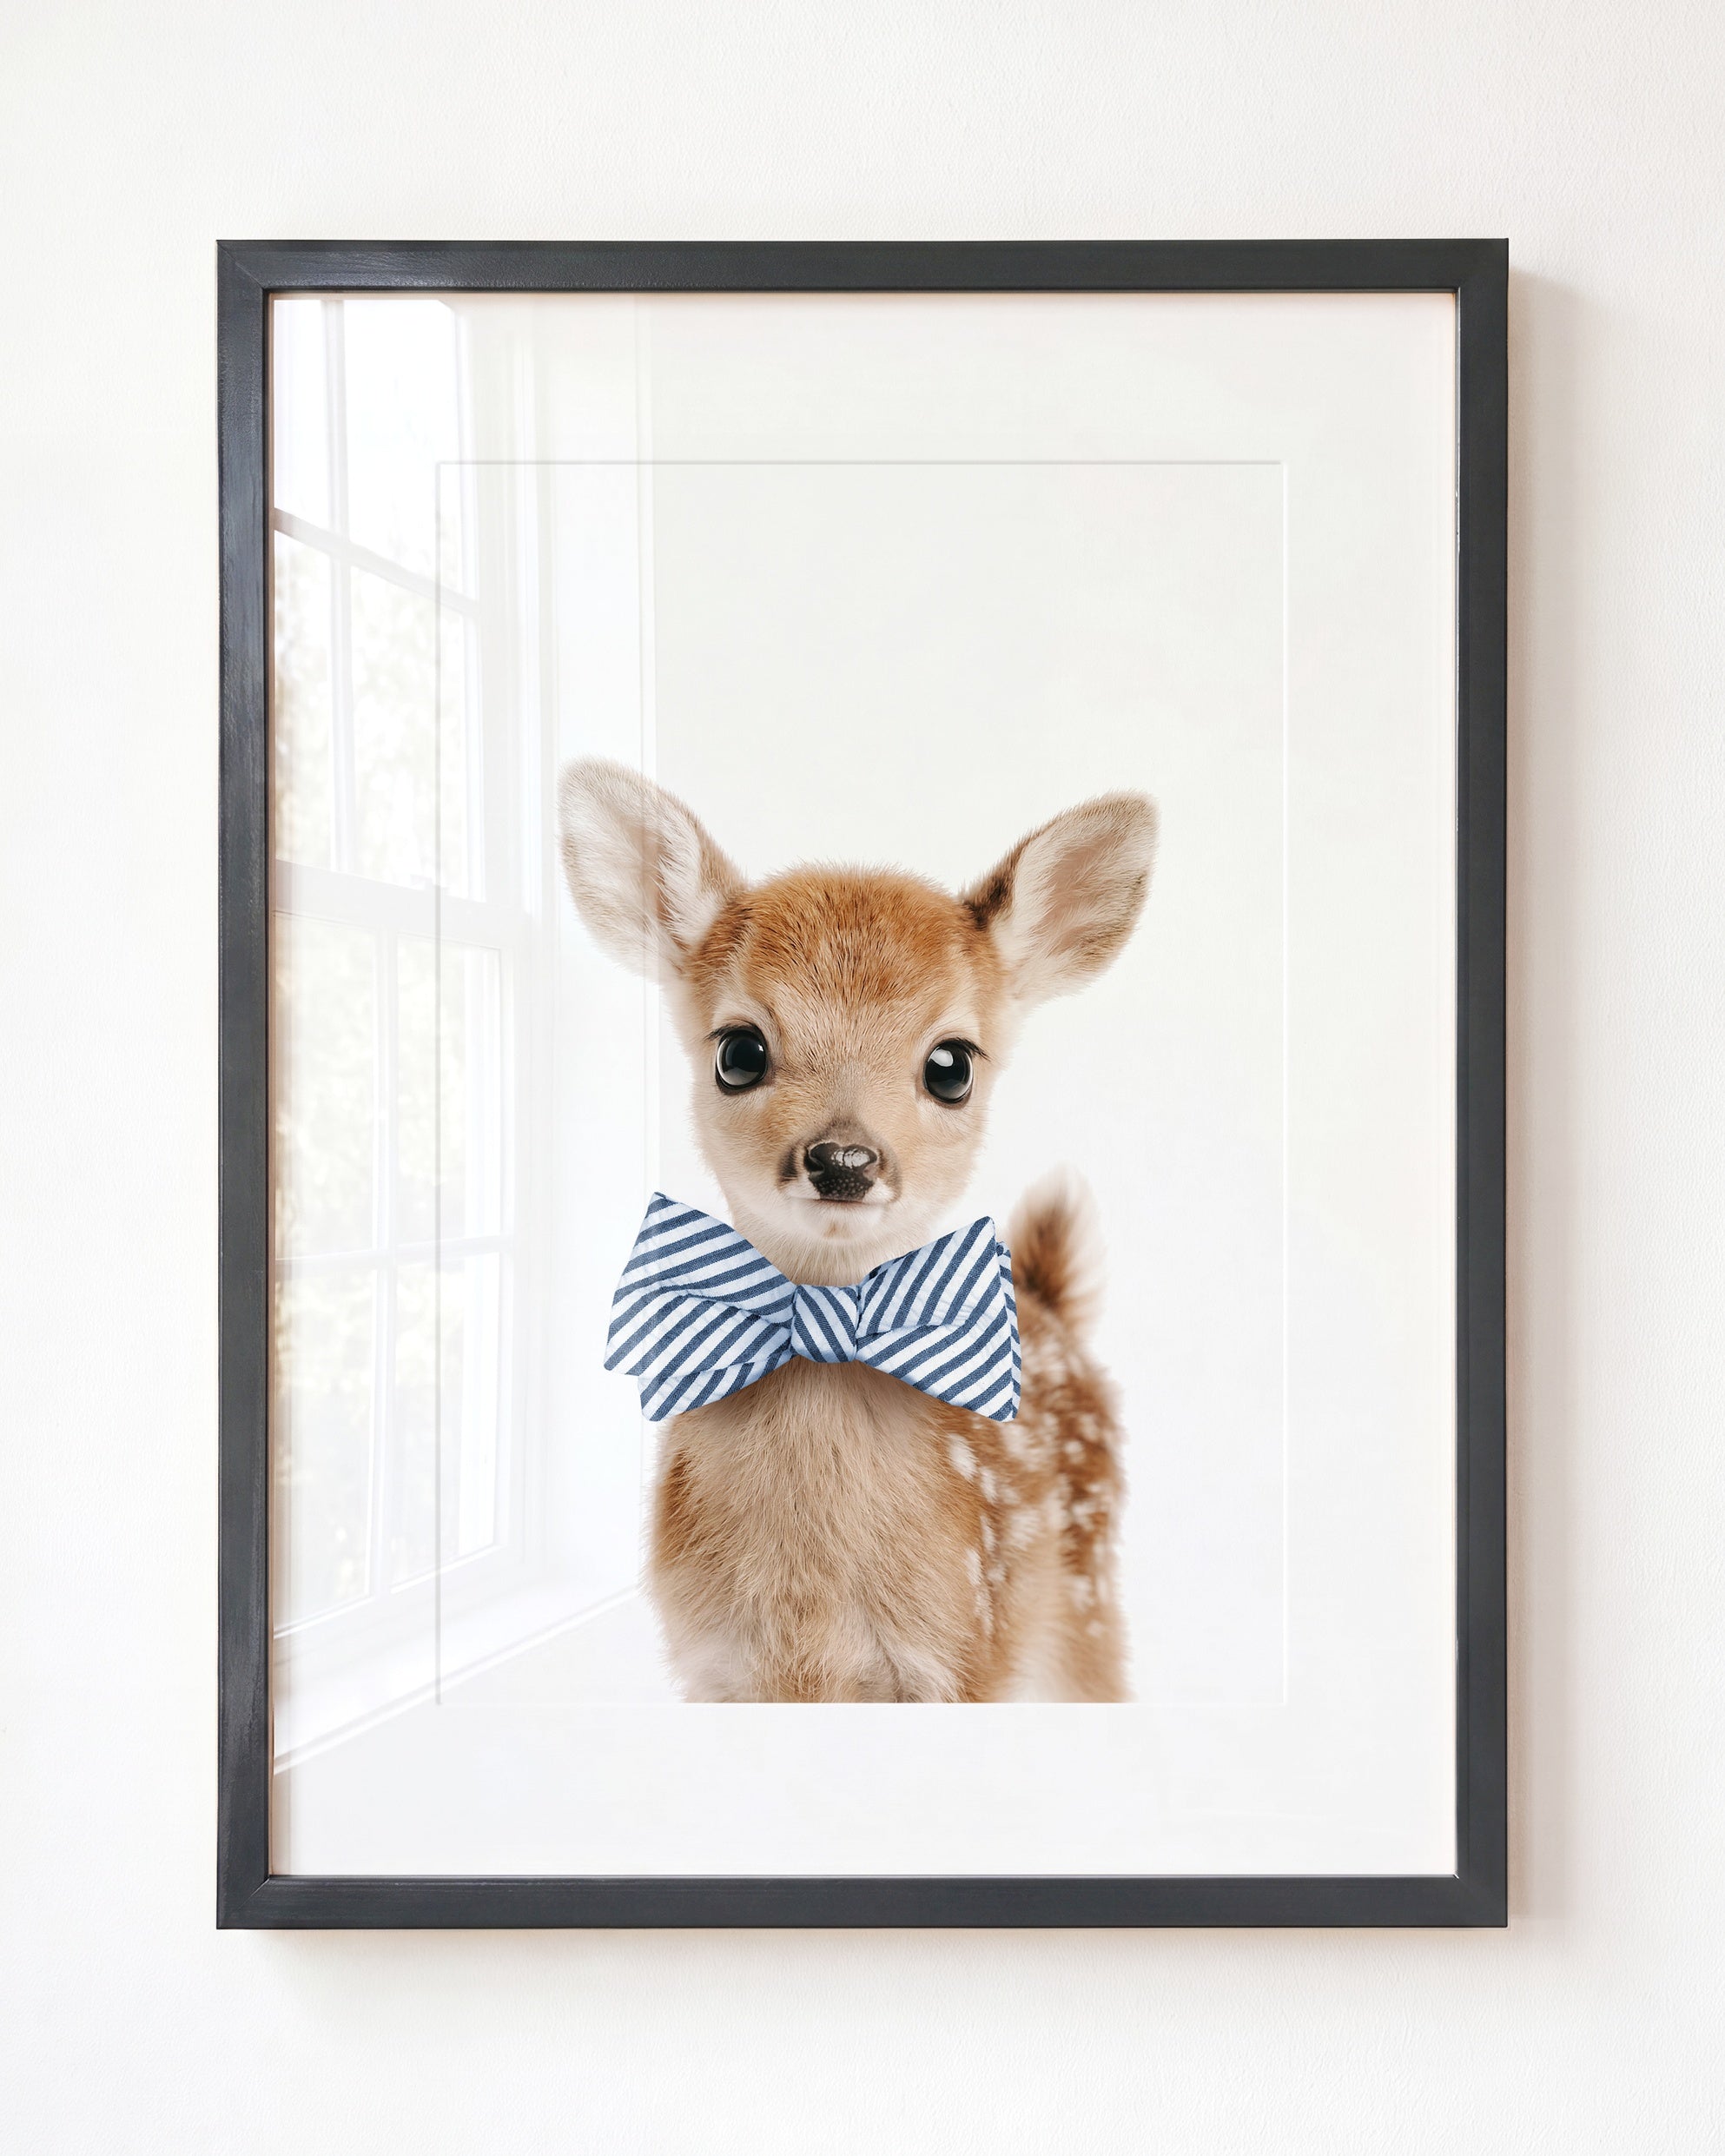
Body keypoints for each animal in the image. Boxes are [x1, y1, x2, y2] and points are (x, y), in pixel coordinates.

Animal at [558, 758, 1157, 1702]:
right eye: (738, 1051)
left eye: (951, 1065)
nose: (843, 1158)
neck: (812, 1619)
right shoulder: (713, 1666)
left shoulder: (962, 1655)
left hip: (1085, 1605)